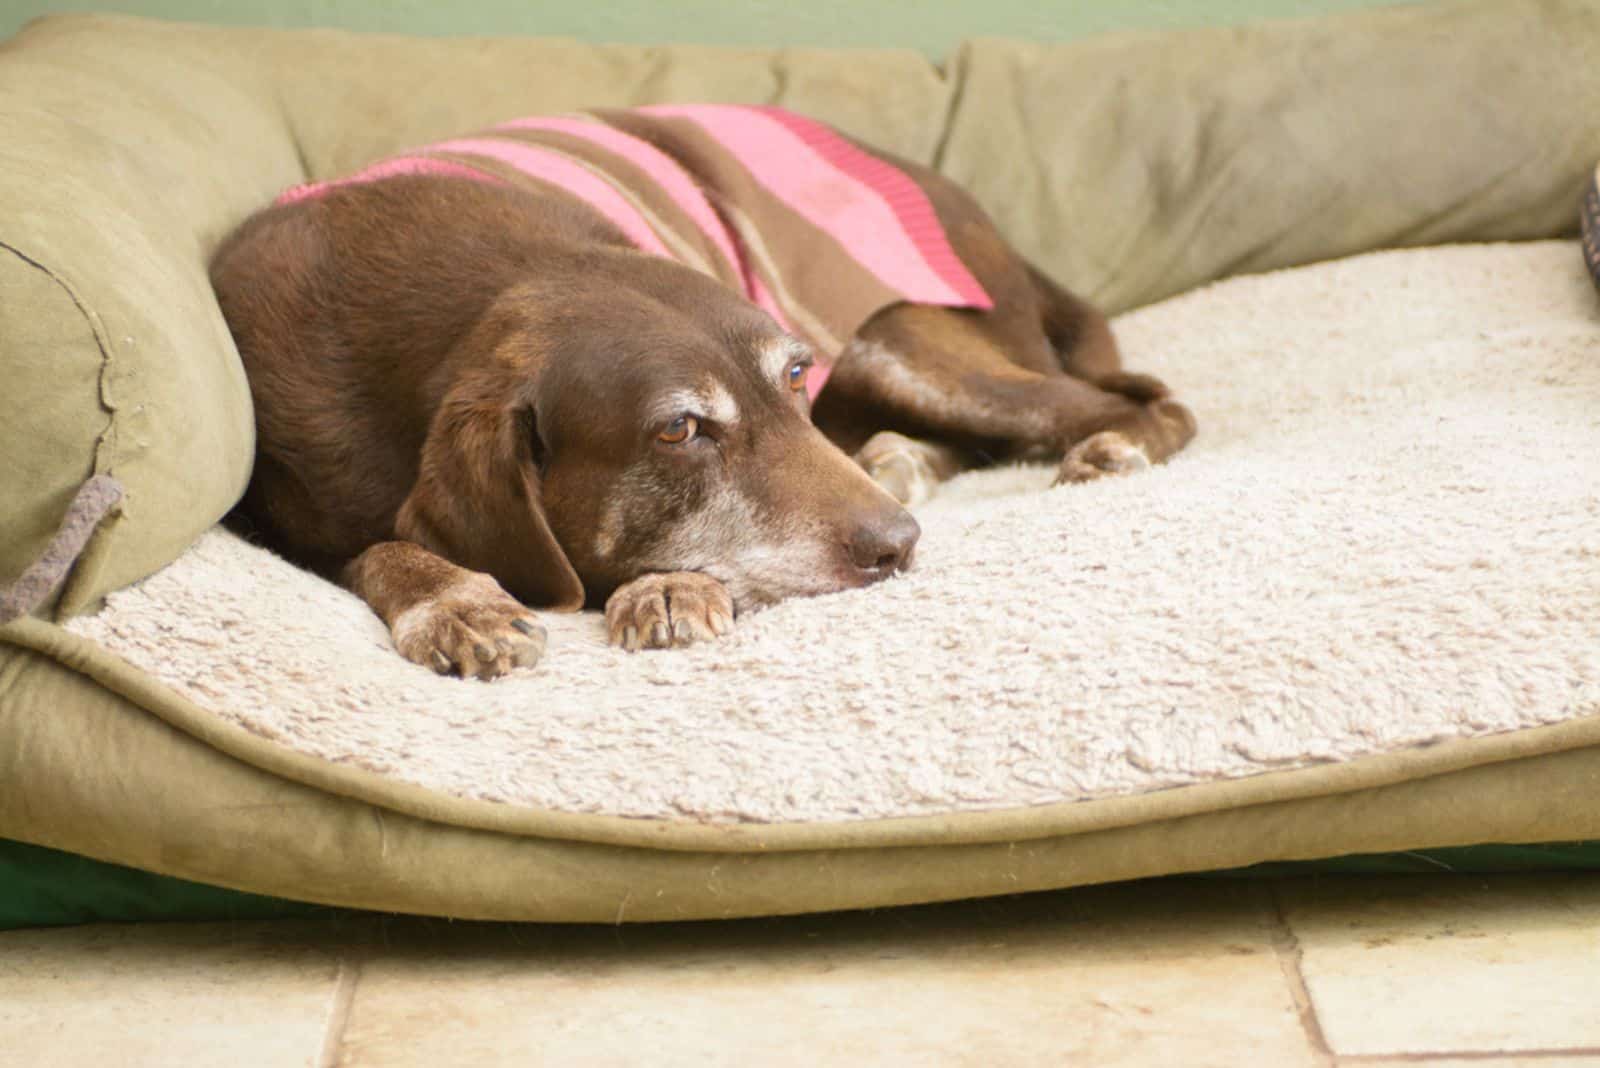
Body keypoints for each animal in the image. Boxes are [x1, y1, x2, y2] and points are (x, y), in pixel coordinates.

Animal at [209, 106, 1190, 674]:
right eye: (679, 431)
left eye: (792, 376)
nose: (900, 546)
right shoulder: (286, 521)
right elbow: (379, 552)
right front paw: (454, 600)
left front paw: (668, 587)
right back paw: (897, 461)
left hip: (898, 343)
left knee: (1140, 402)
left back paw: (1110, 447)